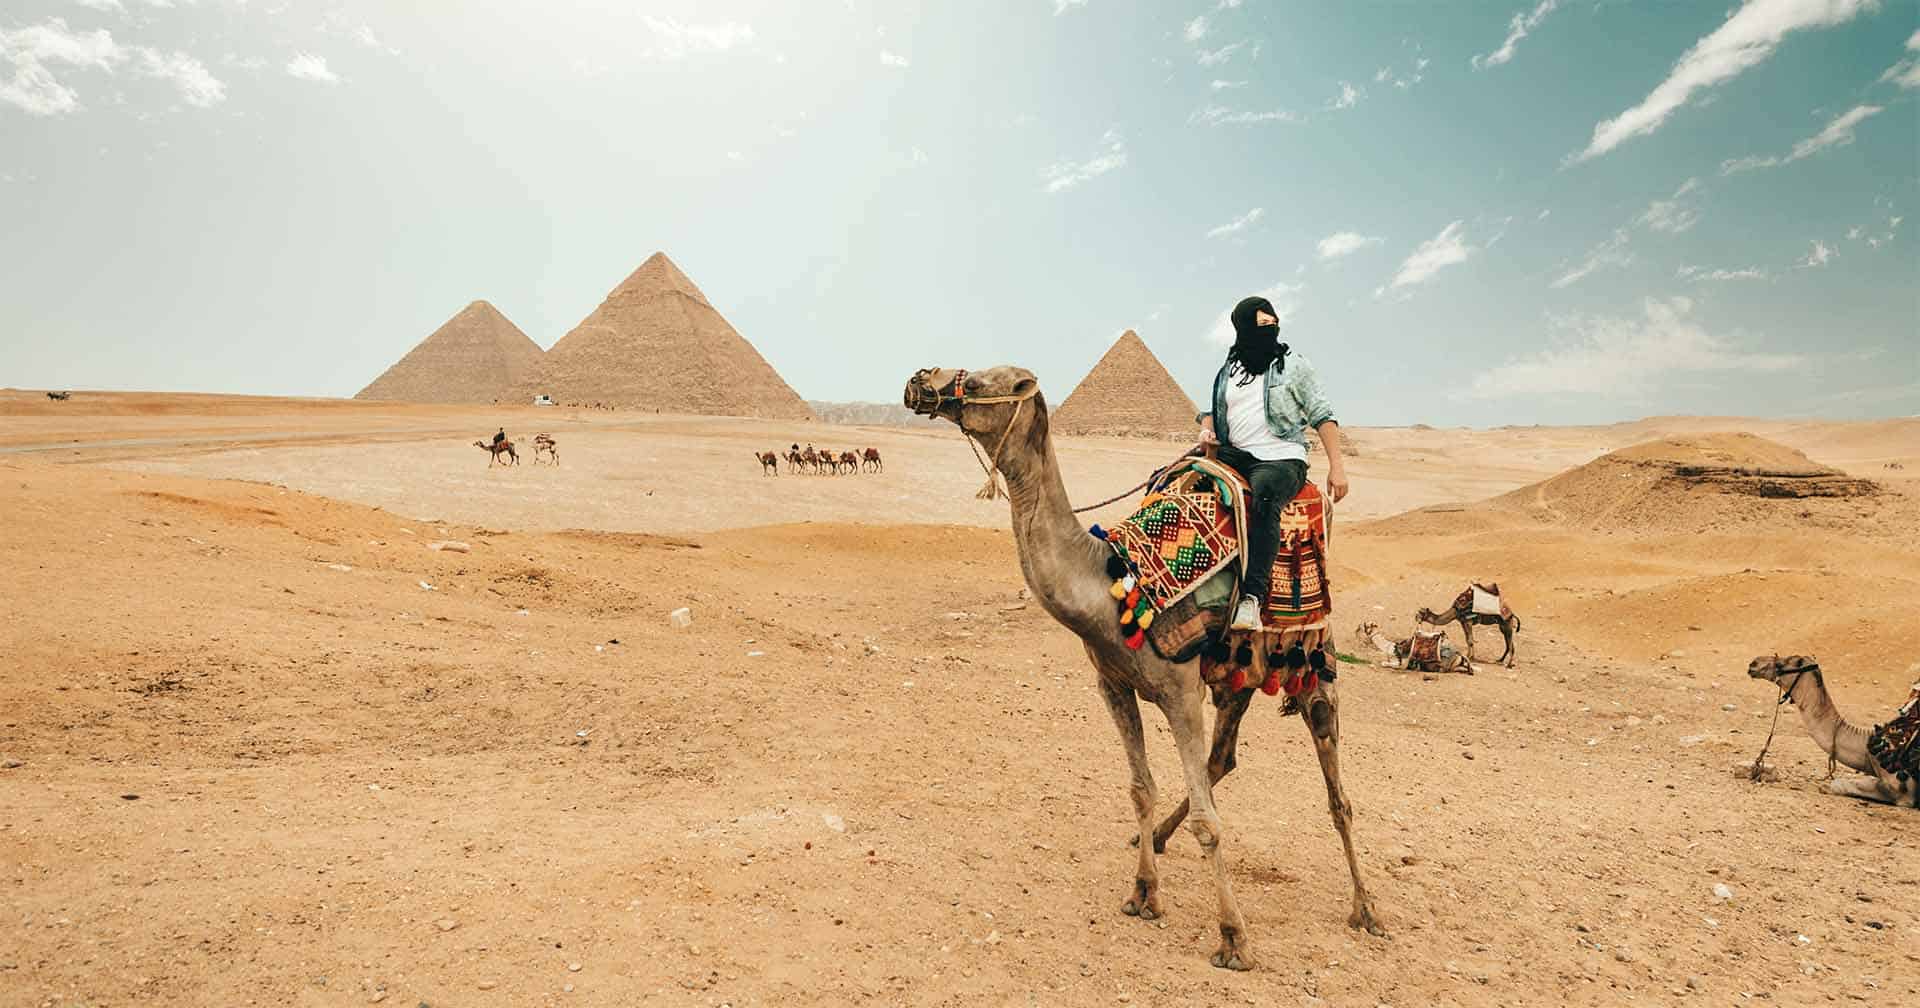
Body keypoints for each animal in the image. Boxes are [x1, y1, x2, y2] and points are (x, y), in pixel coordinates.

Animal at [902, 362, 1382, 967]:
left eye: (993, 379)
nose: (921, 381)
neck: (1110, 583)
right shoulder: (1114, 685)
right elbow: (1141, 789)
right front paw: (1144, 893)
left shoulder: (1179, 692)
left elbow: (1208, 823)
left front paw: (1233, 939)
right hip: (1237, 676)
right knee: (1223, 758)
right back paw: (1155, 839)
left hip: (1314, 665)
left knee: (1337, 796)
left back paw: (1367, 910)